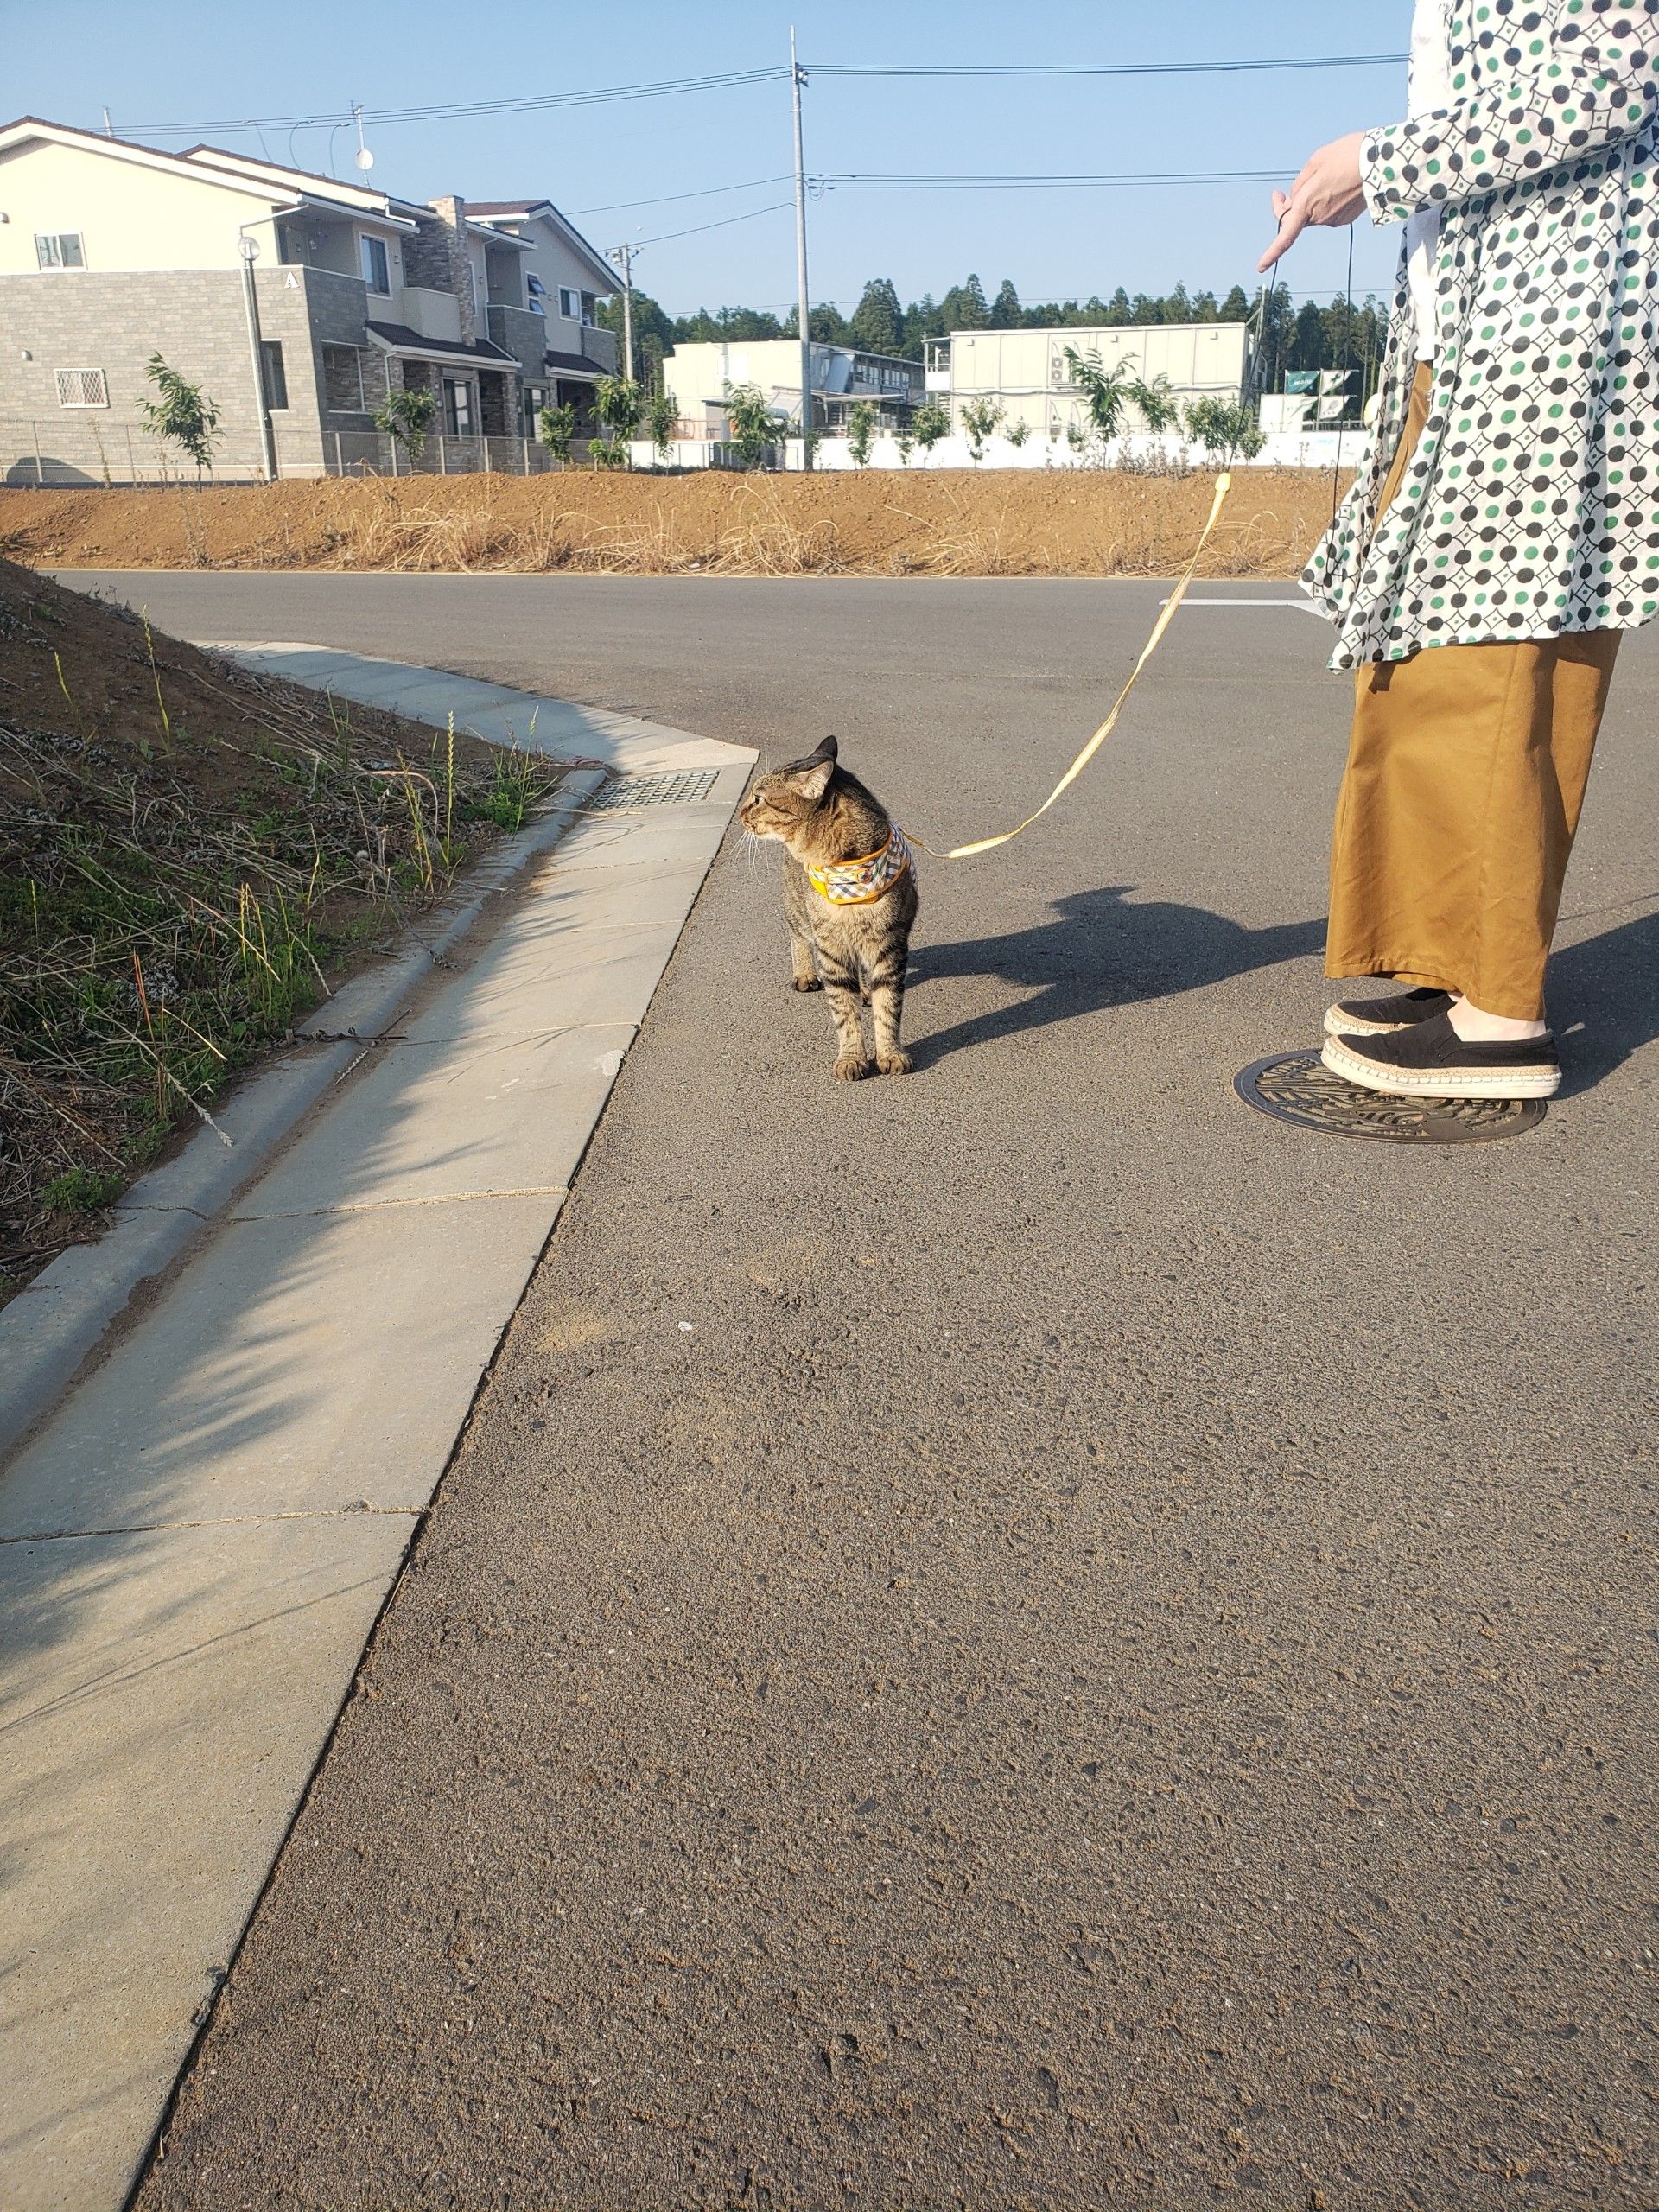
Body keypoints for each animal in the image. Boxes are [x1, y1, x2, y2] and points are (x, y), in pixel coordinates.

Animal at [739, 739, 925, 1084]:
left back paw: (864, 990)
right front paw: (851, 1058)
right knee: (797, 936)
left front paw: (890, 1054)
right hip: (798, 910)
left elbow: (888, 1007)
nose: (741, 813)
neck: (850, 870)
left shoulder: (890, 945)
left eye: (759, 798)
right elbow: (844, 1012)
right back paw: (804, 974)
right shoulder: (831, 948)